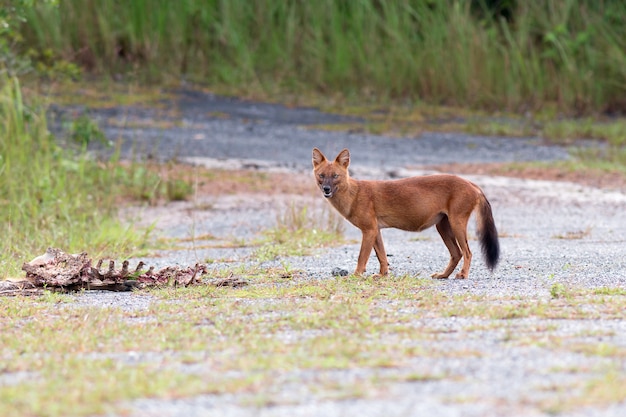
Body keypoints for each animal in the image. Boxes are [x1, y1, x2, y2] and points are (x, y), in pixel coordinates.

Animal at [312, 148, 498, 278]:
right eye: (321, 175)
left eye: (335, 176)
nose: (326, 189)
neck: (354, 194)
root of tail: (472, 183)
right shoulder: (375, 230)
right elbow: (382, 256)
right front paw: (382, 275)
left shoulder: (368, 229)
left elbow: (362, 257)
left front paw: (355, 275)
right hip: (443, 226)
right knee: (457, 253)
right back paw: (443, 275)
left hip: (456, 223)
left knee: (467, 252)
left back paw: (463, 275)